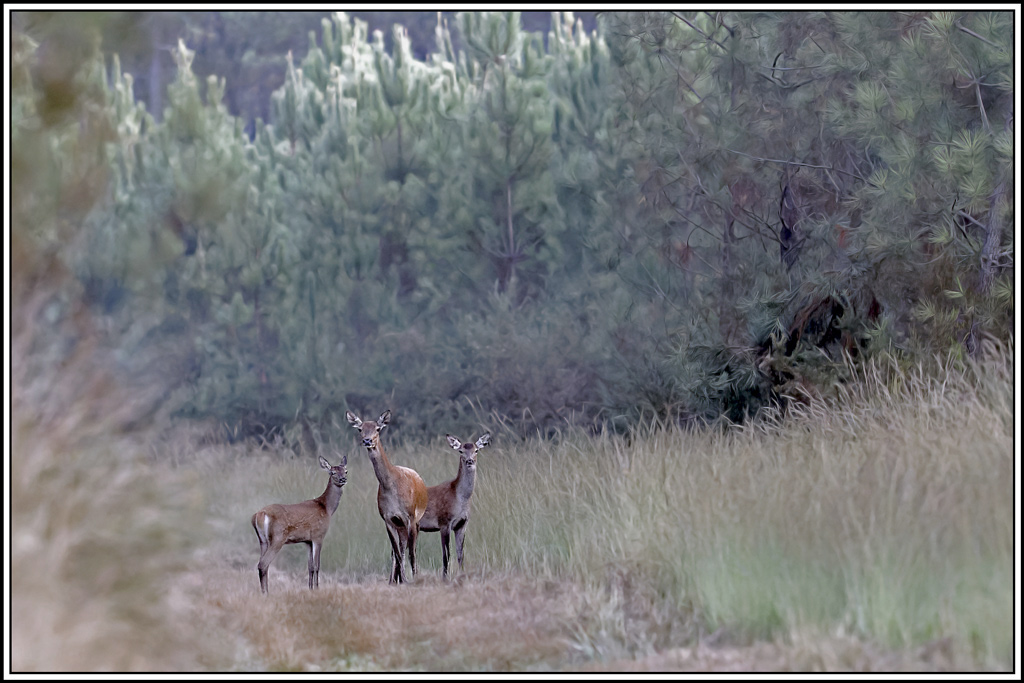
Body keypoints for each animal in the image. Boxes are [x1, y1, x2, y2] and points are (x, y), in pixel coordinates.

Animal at [251, 454, 348, 595]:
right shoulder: (318, 535)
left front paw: (310, 589)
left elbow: (310, 567)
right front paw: (317, 589)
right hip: (277, 538)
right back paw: (266, 594)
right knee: (263, 564)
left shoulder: (307, 541)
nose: (343, 479)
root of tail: (259, 515)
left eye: (346, 471)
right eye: (333, 472)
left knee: (263, 565)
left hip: (263, 540)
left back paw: (265, 592)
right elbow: (317, 566)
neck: (326, 508)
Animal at [346, 410, 428, 584]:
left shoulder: (410, 517)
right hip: (400, 526)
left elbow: (411, 553)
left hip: (416, 521)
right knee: (398, 550)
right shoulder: (388, 518)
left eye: (378, 428)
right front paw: (400, 580)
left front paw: (412, 579)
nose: (367, 440)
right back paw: (394, 580)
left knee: (412, 549)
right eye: (360, 429)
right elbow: (396, 553)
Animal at [418, 433, 491, 579]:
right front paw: (445, 577)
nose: (470, 461)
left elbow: (460, 554)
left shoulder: (462, 525)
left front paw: (462, 574)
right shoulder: (444, 522)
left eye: (476, 450)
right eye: (461, 451)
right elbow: (446, 555)